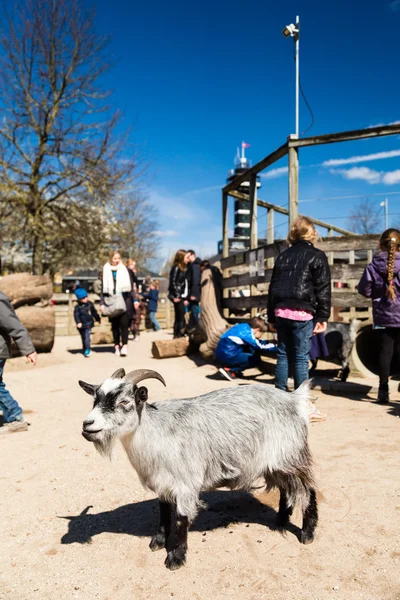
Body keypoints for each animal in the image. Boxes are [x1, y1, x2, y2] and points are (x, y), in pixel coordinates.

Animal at [79, 368, 318, 568]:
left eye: (125, 401)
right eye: (95, 399)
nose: (87, 425)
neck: (156, 432)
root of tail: (294, 399)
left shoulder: (186, 484)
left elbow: (181, 518)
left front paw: (176, 558)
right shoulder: (163, 483)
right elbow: (163, 513)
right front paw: (158, 541)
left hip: (291, 456)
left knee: (308, 490)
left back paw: (307, 534)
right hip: (276, 464)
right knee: (287, 489)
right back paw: (281, 520)